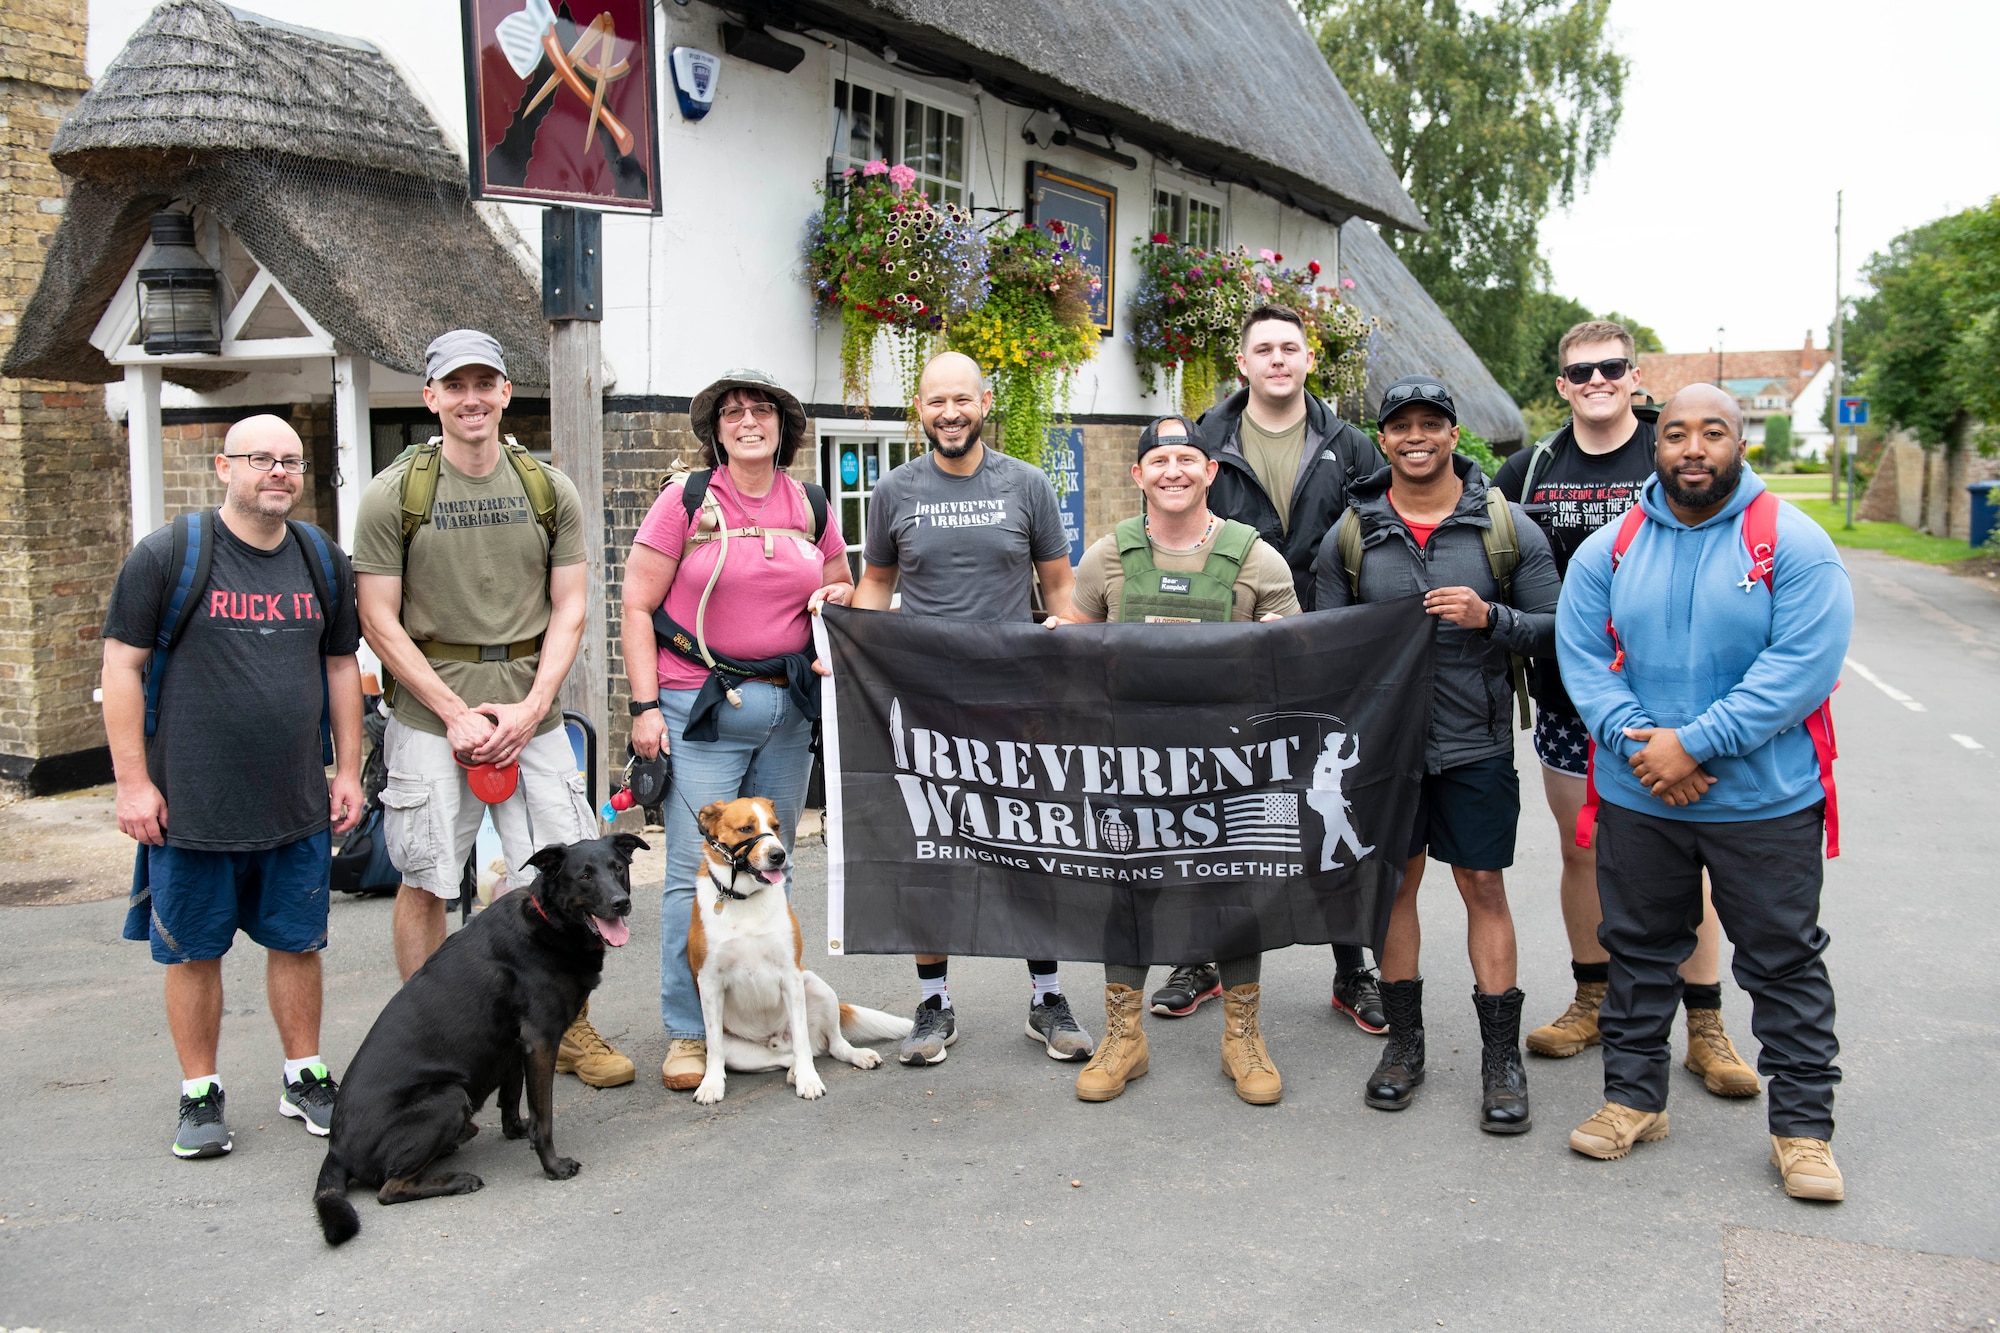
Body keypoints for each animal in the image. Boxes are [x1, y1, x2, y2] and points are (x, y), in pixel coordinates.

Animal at [312, 836, 644, 1240]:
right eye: (584, 876)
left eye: (618, 868)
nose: (620, 902)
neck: (549, 920)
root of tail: (336, 1150)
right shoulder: (541, 1040)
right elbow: (544, 1116)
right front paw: (552, 1166)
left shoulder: (516, 1046)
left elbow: (512, 1096)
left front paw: (516, 1131)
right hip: (450, 1097)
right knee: (389, 1189)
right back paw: (456, 1180)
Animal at [688, 792, 908, 1096]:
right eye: (746, 828)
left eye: (776, 826)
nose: (778, 855)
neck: (745, 899)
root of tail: (777, 1038)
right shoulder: (709, 982)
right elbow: (715, 1048)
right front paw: (711, 1085)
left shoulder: (790, 976)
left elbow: (803, 1040)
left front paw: (808, 1079)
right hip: (740, 1052)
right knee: (782, 1056)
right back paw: (791, 1069)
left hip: (817, 986)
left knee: (831, 1044)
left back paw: (854, 1055)